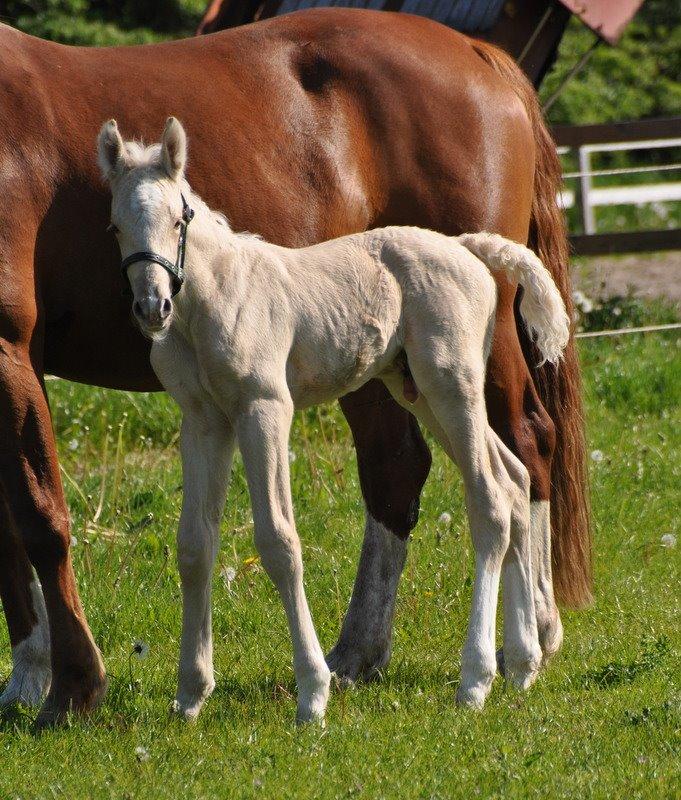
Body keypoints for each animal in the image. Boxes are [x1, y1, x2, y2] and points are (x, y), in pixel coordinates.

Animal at [98, 119, 572, 724]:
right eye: (115, 226)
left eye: (179, 219)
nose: (152, 307)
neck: (217, 298)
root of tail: (466, 247)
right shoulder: (203, 422)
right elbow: (194, 546)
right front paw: (190, 696)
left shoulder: (264, 408)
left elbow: (279, 540)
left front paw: (313, 693)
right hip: (417, 390)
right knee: (513, 482)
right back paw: (523, 664)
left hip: (452, 385)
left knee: (489, 501)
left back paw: (476, 679)